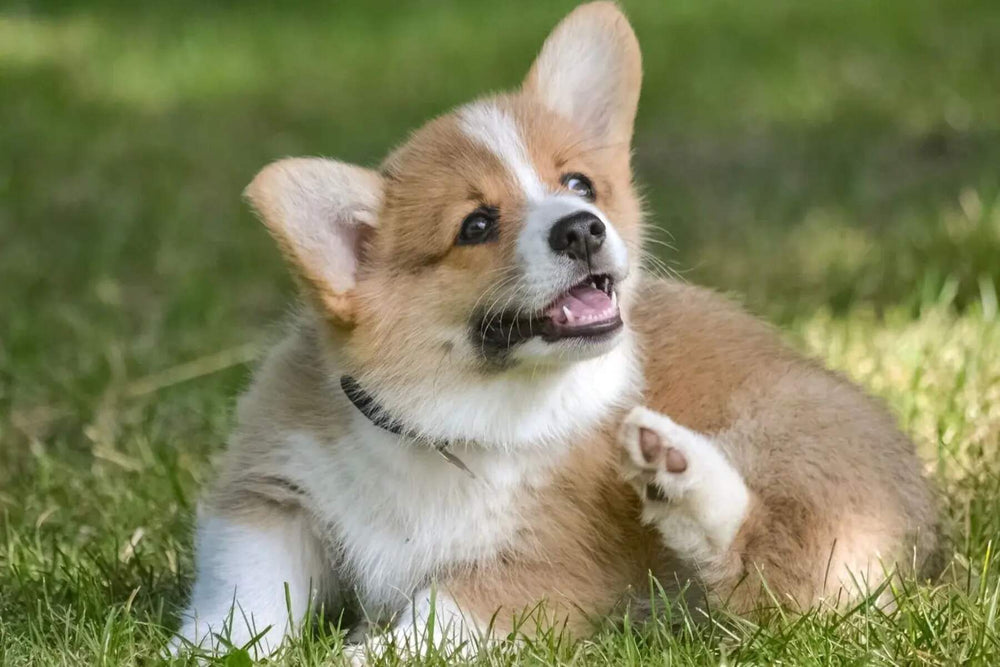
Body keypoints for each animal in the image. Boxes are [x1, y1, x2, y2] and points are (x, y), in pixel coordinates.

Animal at [178, 1, 936, 664]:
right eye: (476, 225)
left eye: (579, 184)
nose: (581, 228)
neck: (446, 421)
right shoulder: (273, 499)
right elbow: (240, 597)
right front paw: (197, 651)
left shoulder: (537, 573)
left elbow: (427, 624)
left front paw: (357, 655)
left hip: (794, 444)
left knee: (772, 575)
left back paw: (676, 470)